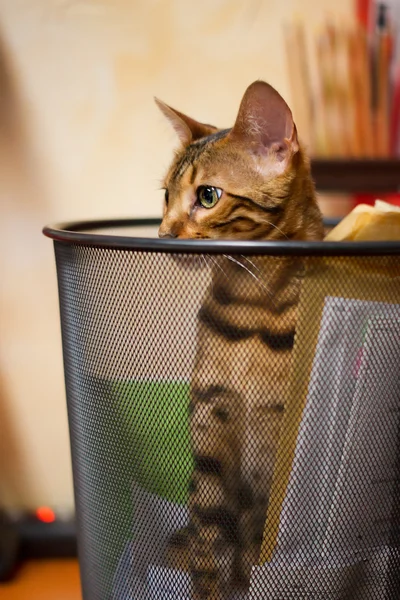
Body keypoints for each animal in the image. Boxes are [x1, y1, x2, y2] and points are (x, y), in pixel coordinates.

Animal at [156, 81, 324, 600]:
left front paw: (251, 579)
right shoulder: (211, 421)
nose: (162, 234)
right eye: (164, 195)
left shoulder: (278, 437)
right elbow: (208, 538)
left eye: (207, 196)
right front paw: (208, 587)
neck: (251, 308)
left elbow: (256, 546)